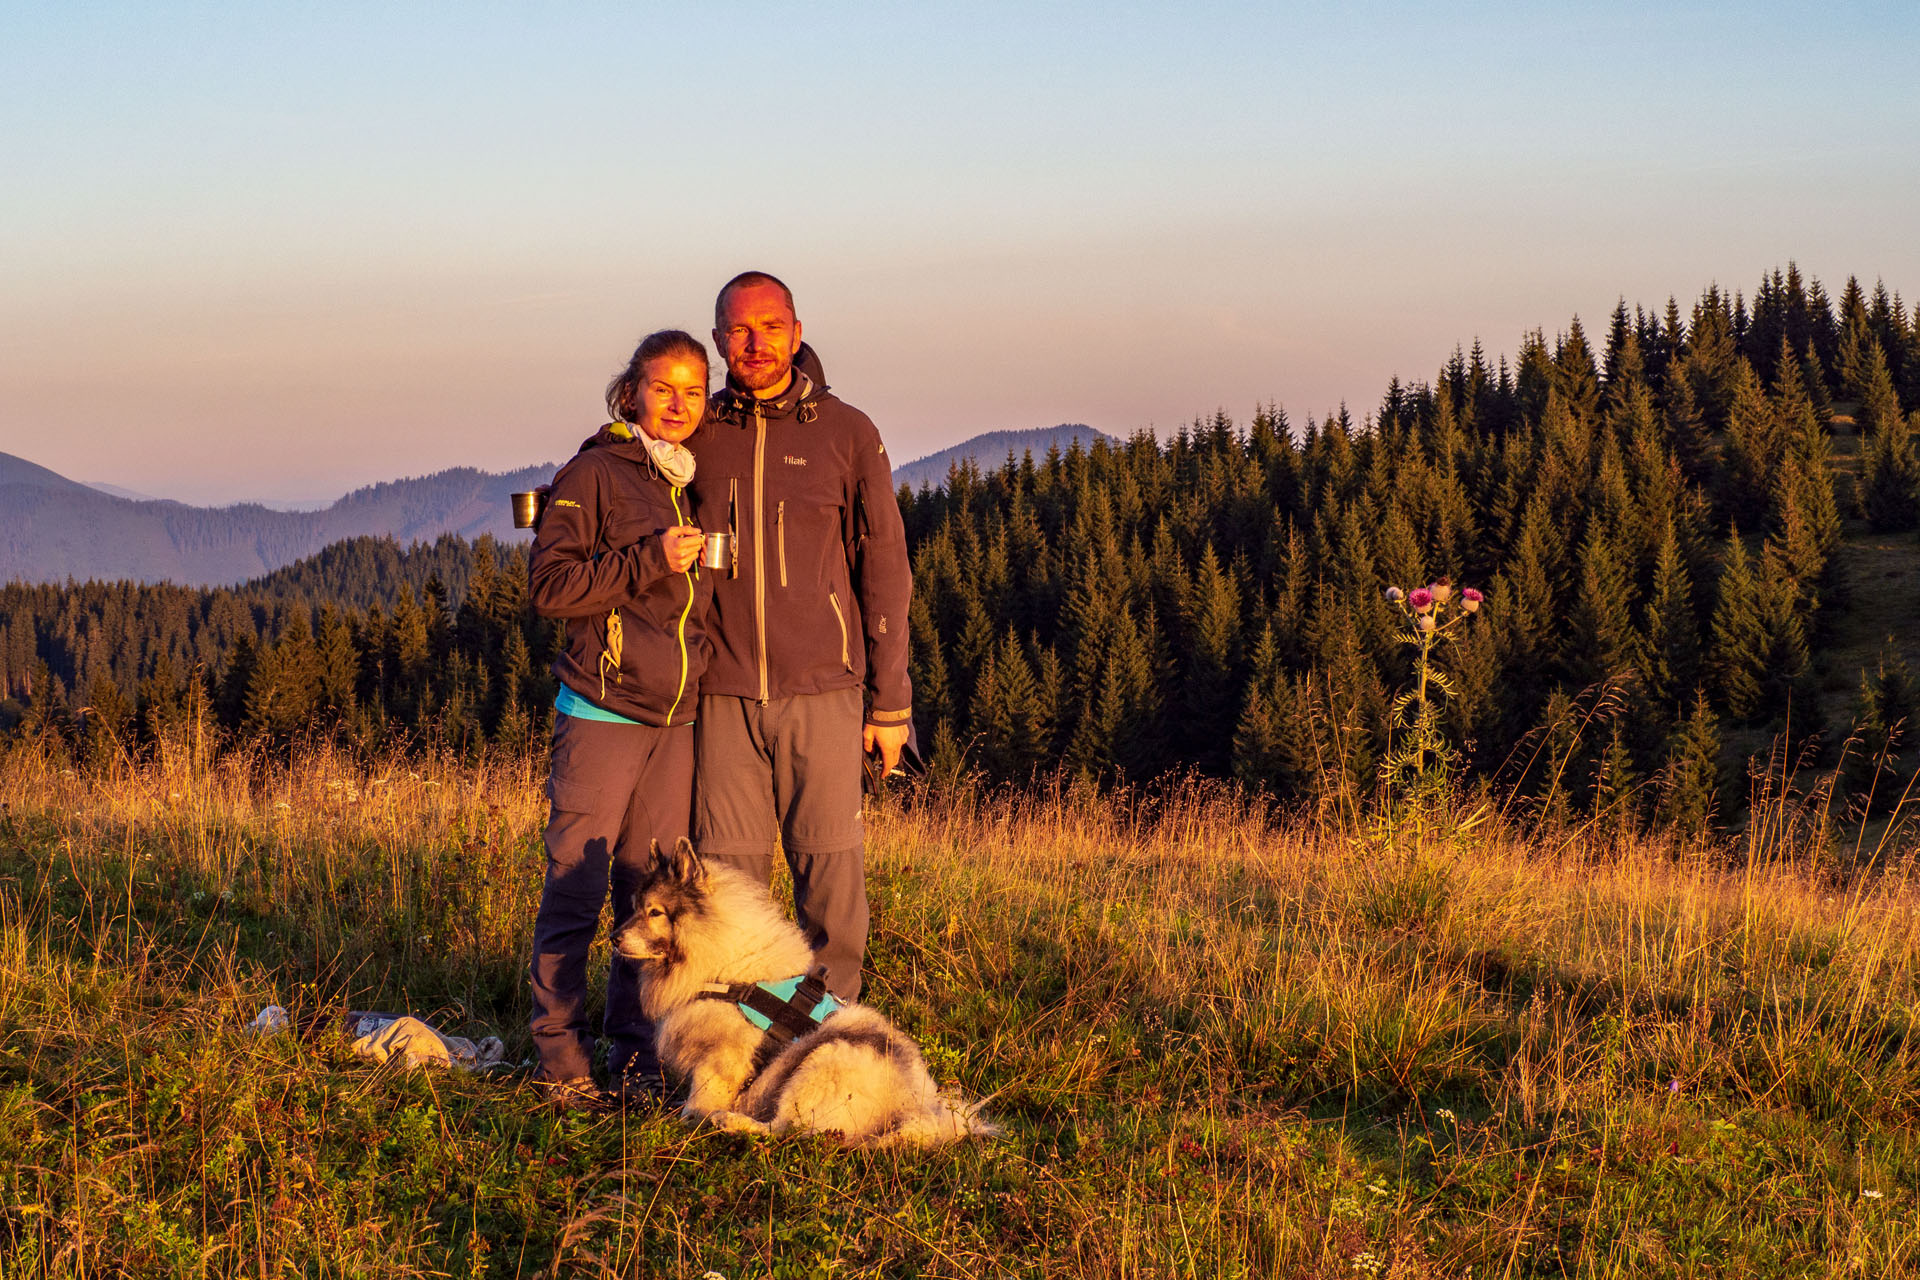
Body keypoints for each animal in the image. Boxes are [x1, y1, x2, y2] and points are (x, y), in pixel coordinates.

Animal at [614, 836, 998, 1143]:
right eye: (634, 908)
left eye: (655, 912)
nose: (614, 938)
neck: (726, 966)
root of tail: (913, 1109)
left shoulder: (720, 1059)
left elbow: (702, 1094)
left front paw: (690, 1119)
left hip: (819, 1063)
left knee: (787, 1128)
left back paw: (732, 1122)